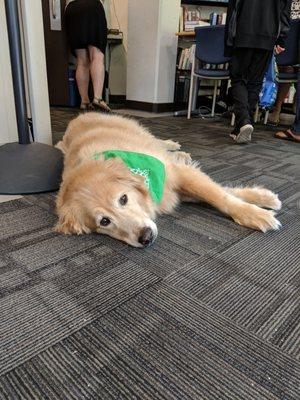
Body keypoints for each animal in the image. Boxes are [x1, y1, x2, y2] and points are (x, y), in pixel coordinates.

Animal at [55, 111, 282, 247]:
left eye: (123, 199)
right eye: (104, 221)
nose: (146, 237)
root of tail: (76, 118)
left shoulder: (177, 173)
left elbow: (220, 196)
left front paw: (257, 210)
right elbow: (221, 190)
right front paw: (262, 199)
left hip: (138, 130)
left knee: (158, 141)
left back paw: (175, 146)